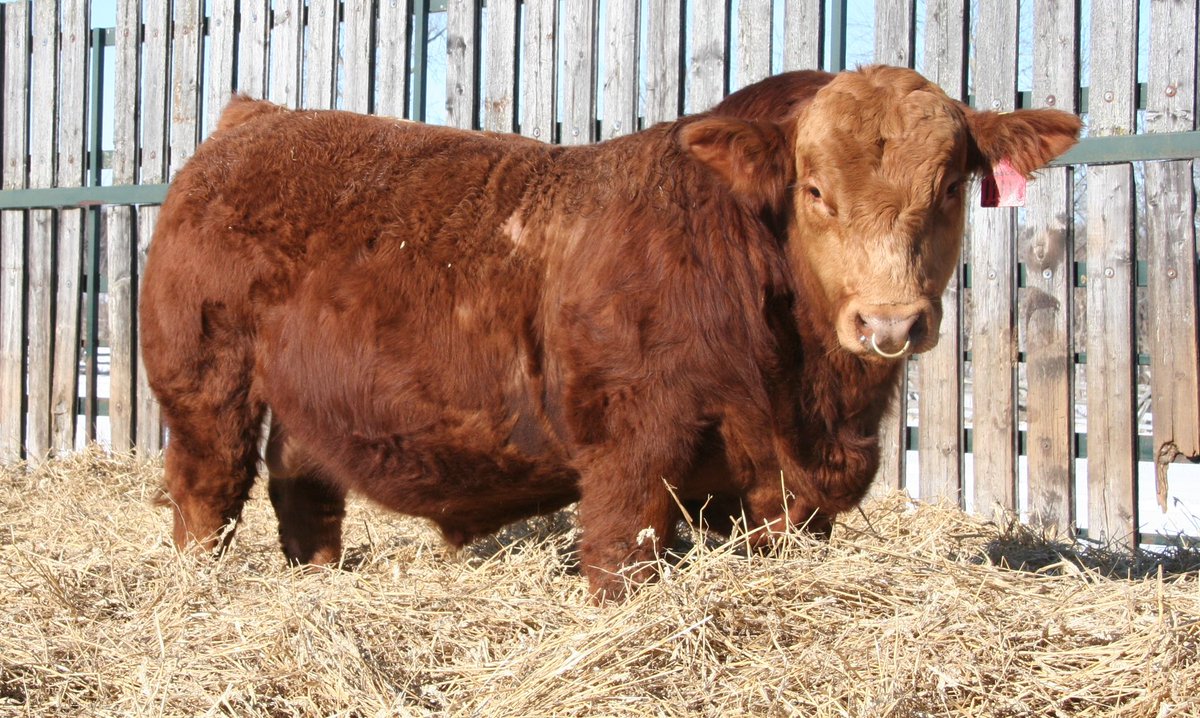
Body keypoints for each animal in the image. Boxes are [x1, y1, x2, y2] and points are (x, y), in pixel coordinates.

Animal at [139, 65, 1080, 599]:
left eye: (950, 187)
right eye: (814, 190)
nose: (889, 320)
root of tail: (256, 119)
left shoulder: (785, 491)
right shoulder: (632, 447)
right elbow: (619, 559)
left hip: (309, 403)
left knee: (303, 485)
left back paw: (320, 582)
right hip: (205, 383)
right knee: (206, 492)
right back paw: (196, 588)